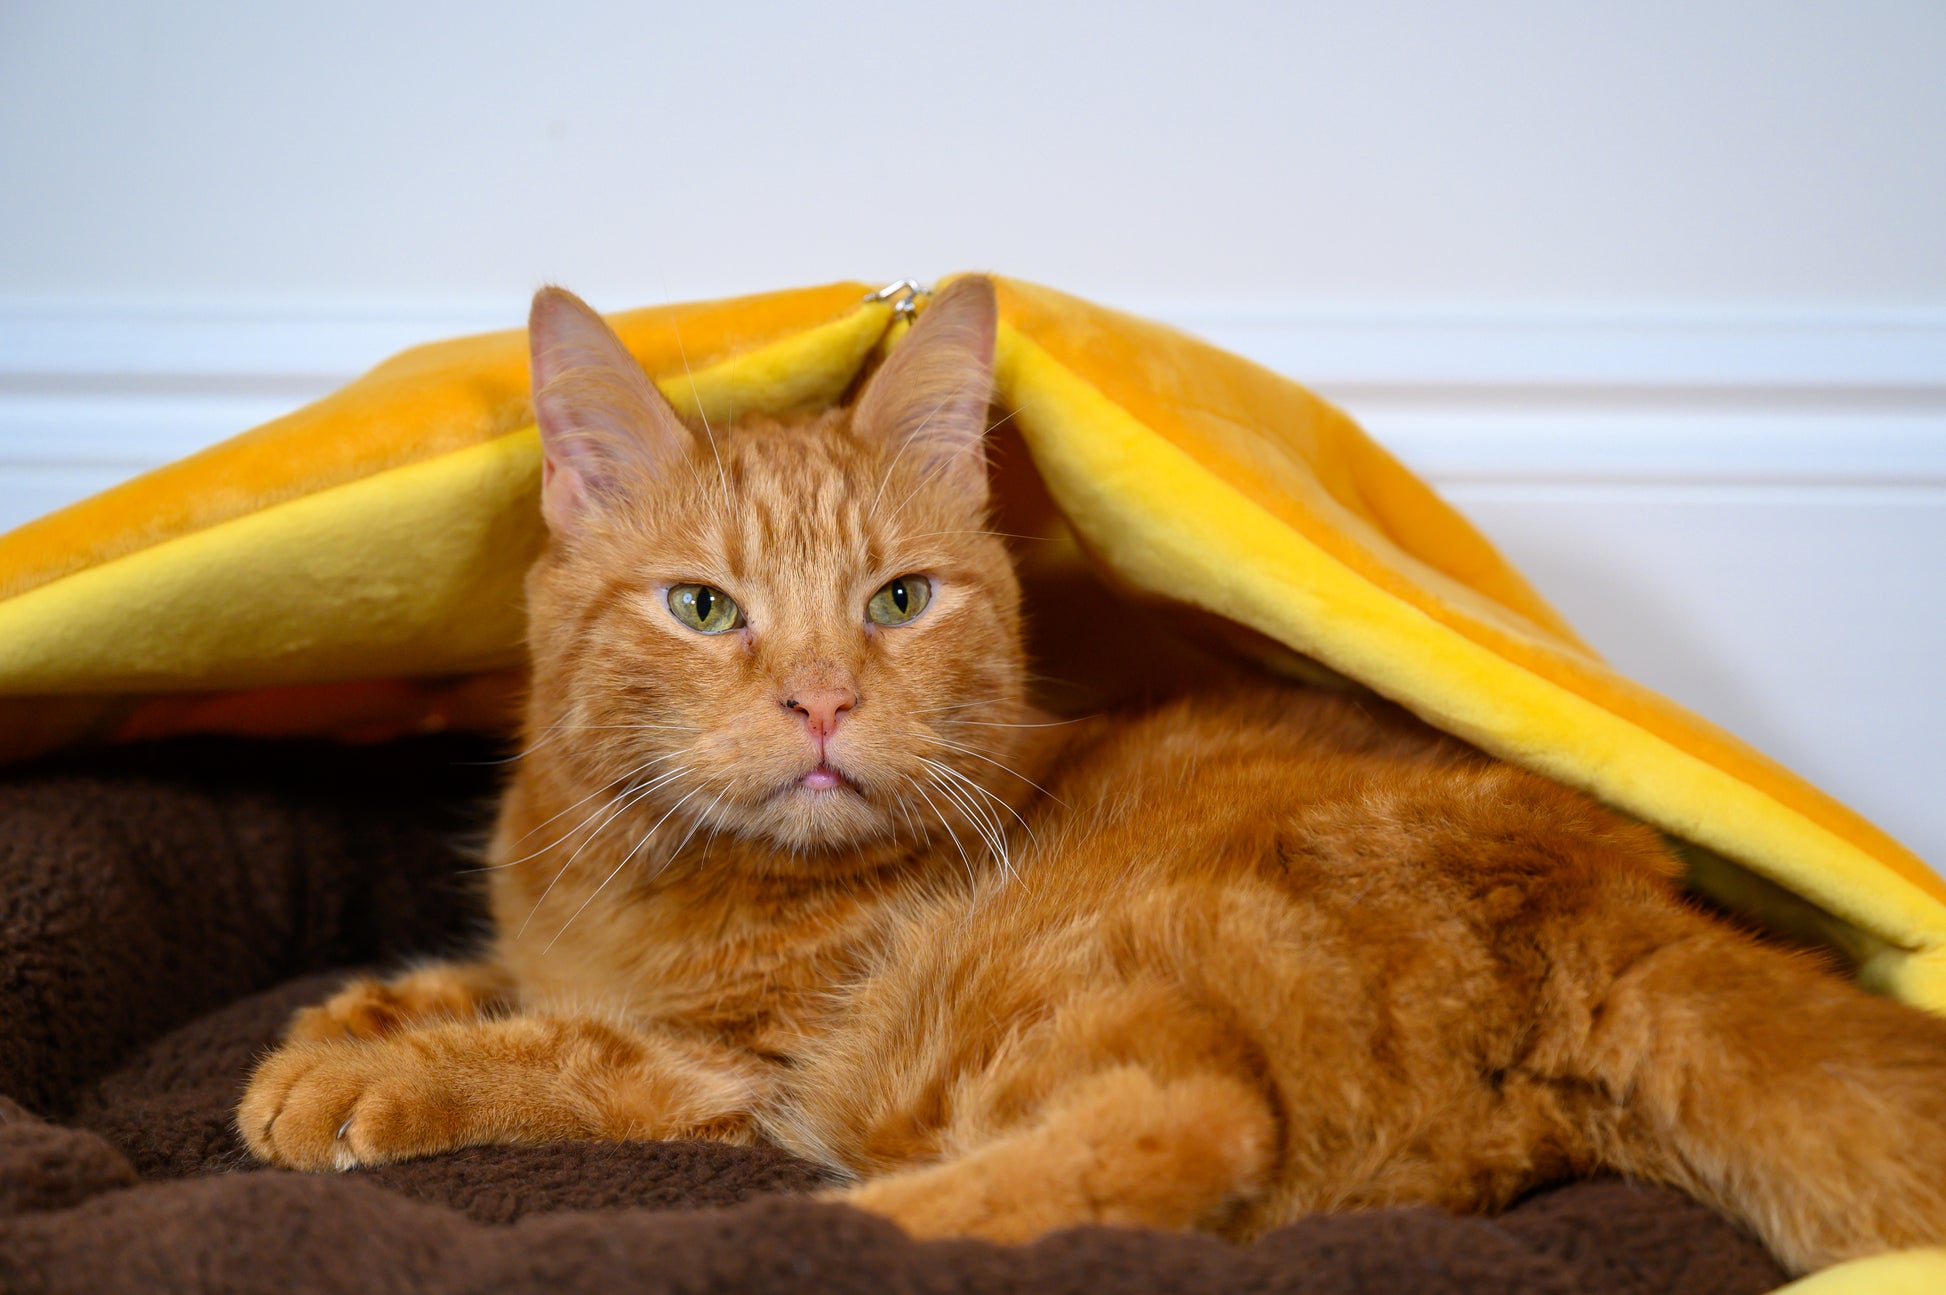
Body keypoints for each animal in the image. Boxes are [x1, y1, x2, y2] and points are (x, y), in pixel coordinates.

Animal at [239, 274, 1946, 1269]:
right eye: (704, 607)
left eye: (896, 601)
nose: (821, 699)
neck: (631, 872)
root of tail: (1601, 891)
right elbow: (495, 981)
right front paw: (367, 1009)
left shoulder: (750, 1053)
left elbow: (580, 1048)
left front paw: (379, 1069)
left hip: (998, 996)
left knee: (1184, 1121)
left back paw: (841, 1227)